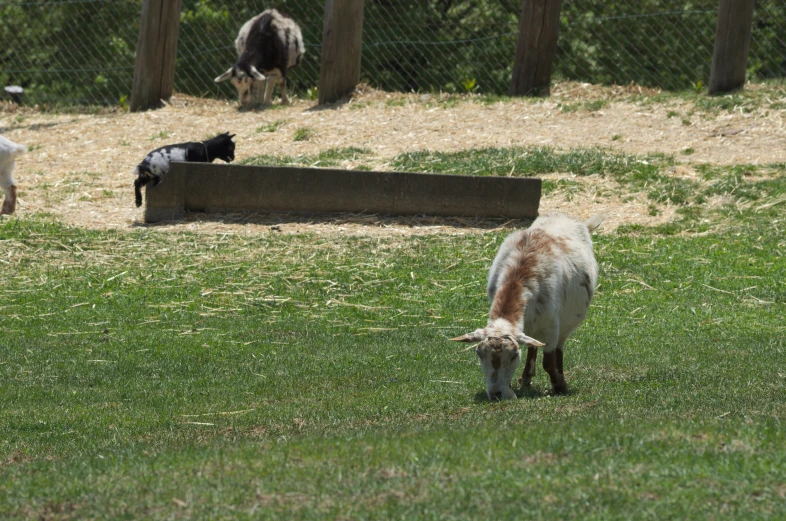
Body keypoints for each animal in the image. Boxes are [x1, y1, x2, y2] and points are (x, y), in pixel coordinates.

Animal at [450, 211, 604, 398]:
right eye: (479, 354)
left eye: (514, 355)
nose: (496, 394)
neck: (517, 278)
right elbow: (533, 346)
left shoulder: (551, 327)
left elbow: (548, 362)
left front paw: (559, 385)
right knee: (533, 344)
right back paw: (526, 376)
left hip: (567, 322)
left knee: (559, 347)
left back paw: (559, 375)